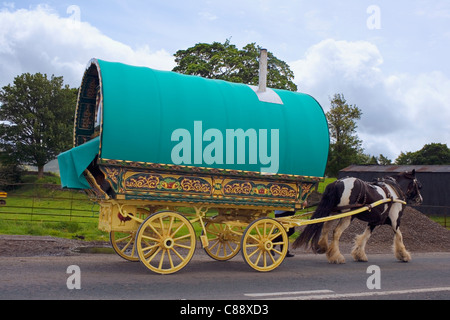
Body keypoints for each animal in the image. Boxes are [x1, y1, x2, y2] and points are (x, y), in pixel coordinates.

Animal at [294, 171, 424, 264]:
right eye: (418, 185)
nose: (420, 199)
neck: (393, 192)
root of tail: (338, 182)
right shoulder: (395, 221)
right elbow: (399, 236)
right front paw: (403, 255)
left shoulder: (374, 222)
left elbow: (365, 236)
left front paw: (359, 254)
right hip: (348, 215)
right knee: (336, 232)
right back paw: (336, 256)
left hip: (334, 212)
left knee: (326, 227)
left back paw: (323, 247)